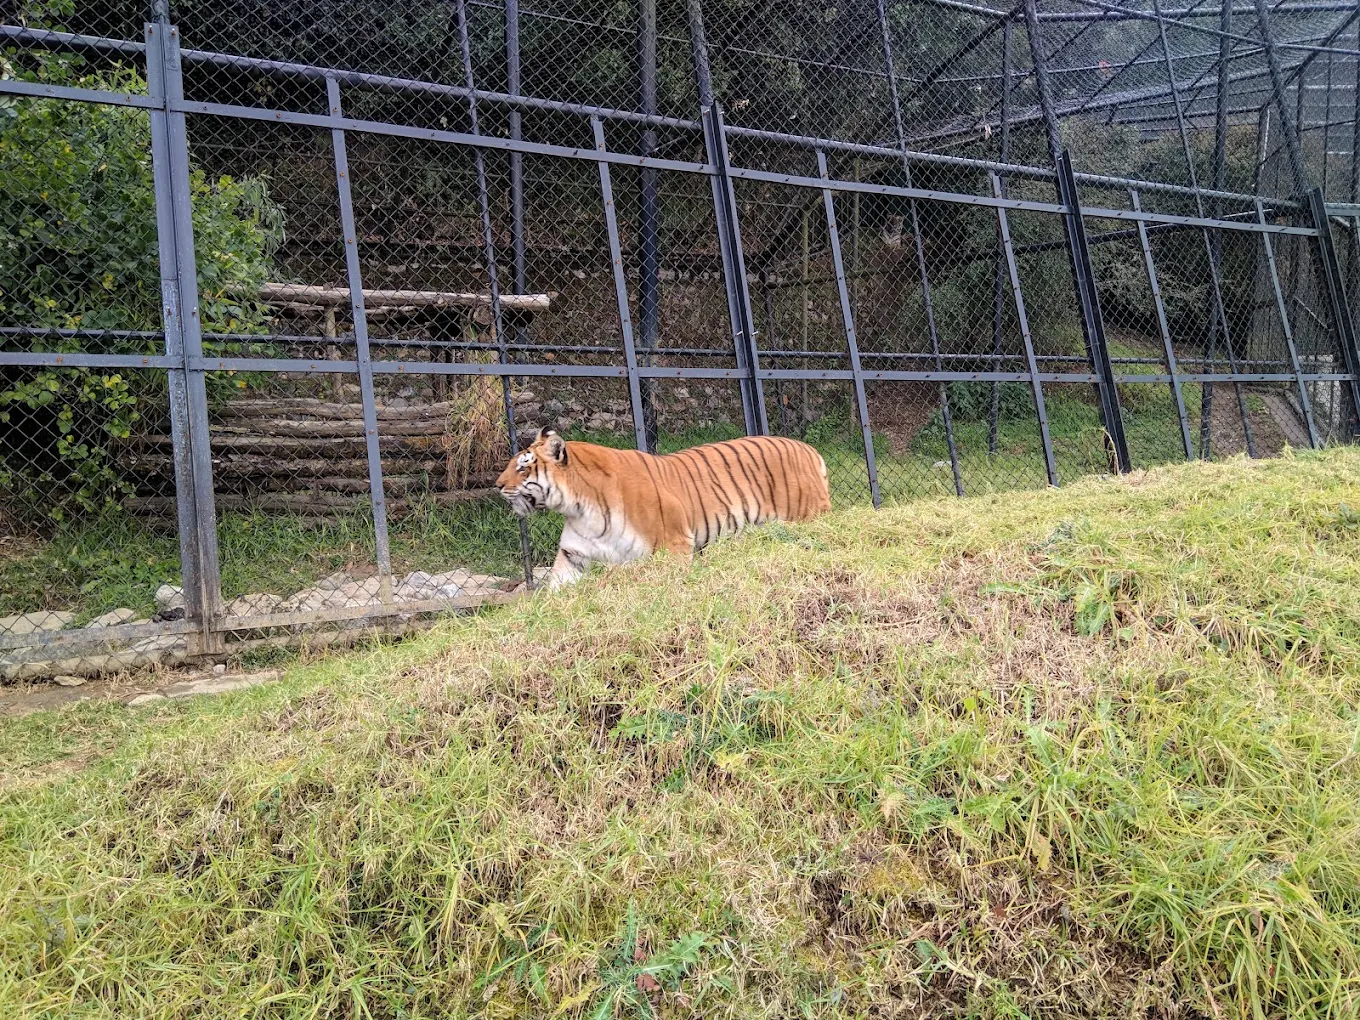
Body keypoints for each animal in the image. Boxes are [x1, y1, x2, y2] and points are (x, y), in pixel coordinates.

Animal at [496, 428, 831, 590]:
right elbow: (556, 585)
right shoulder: (573, 554)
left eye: (523, 468)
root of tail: (811, 450)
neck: (578, 507)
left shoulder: (673, 546)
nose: (497, 485)